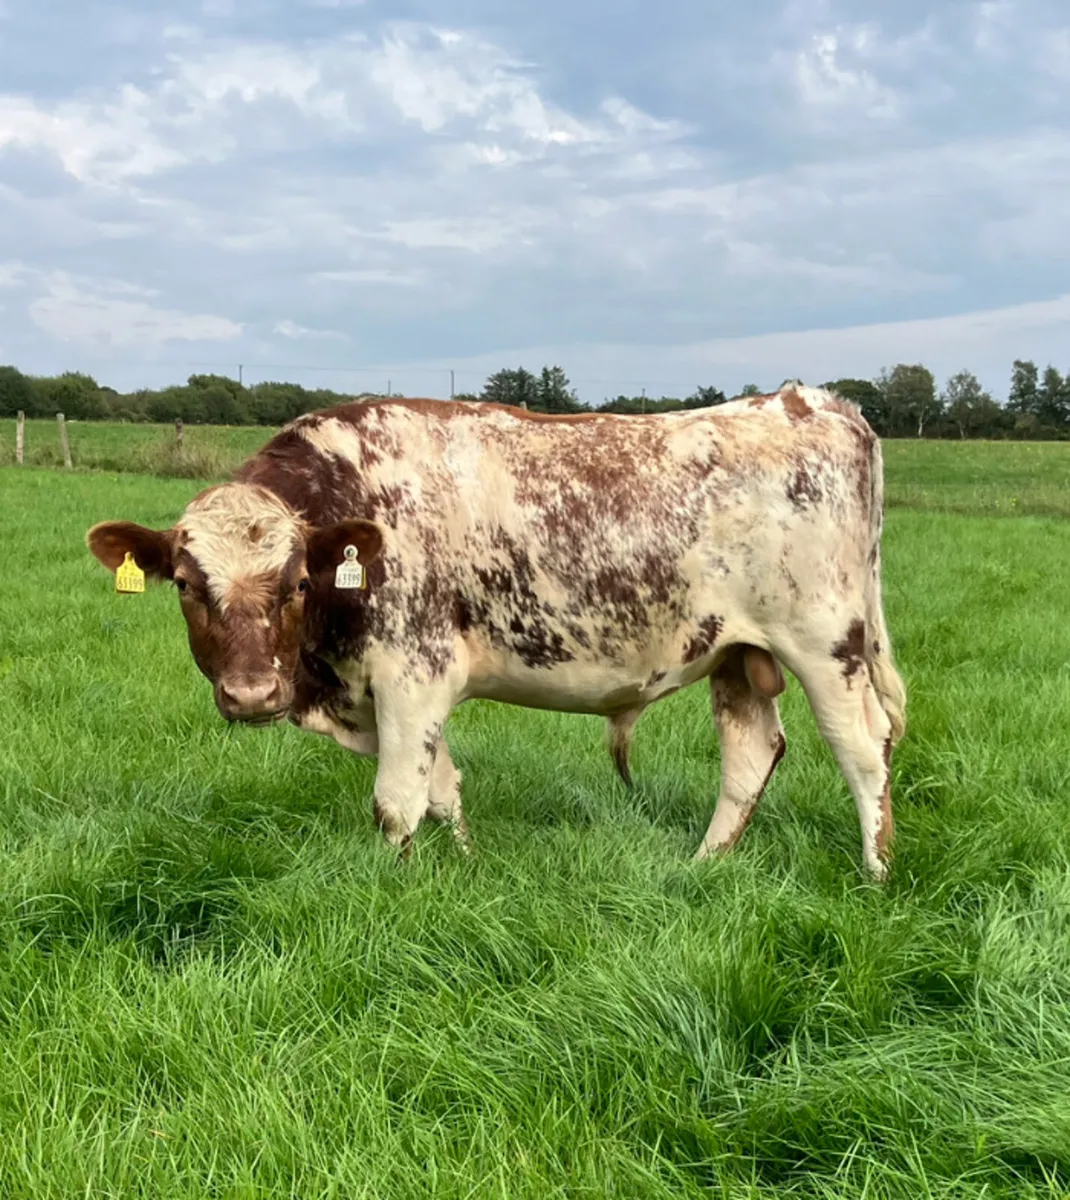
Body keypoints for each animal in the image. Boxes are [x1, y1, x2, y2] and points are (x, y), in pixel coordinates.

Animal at [86, 383, 907, 880]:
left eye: (296, 583)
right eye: (187, 586)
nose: (253, 695)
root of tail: (811, 400)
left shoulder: (411, 676)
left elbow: (397, 801)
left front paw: (399, 885)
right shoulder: (400, 695)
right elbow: (443, 790)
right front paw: (464, 866)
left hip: (825, 644)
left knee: (864, 751)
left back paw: (874, 875)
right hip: (738, 652)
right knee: (751, 755)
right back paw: (705, 867)